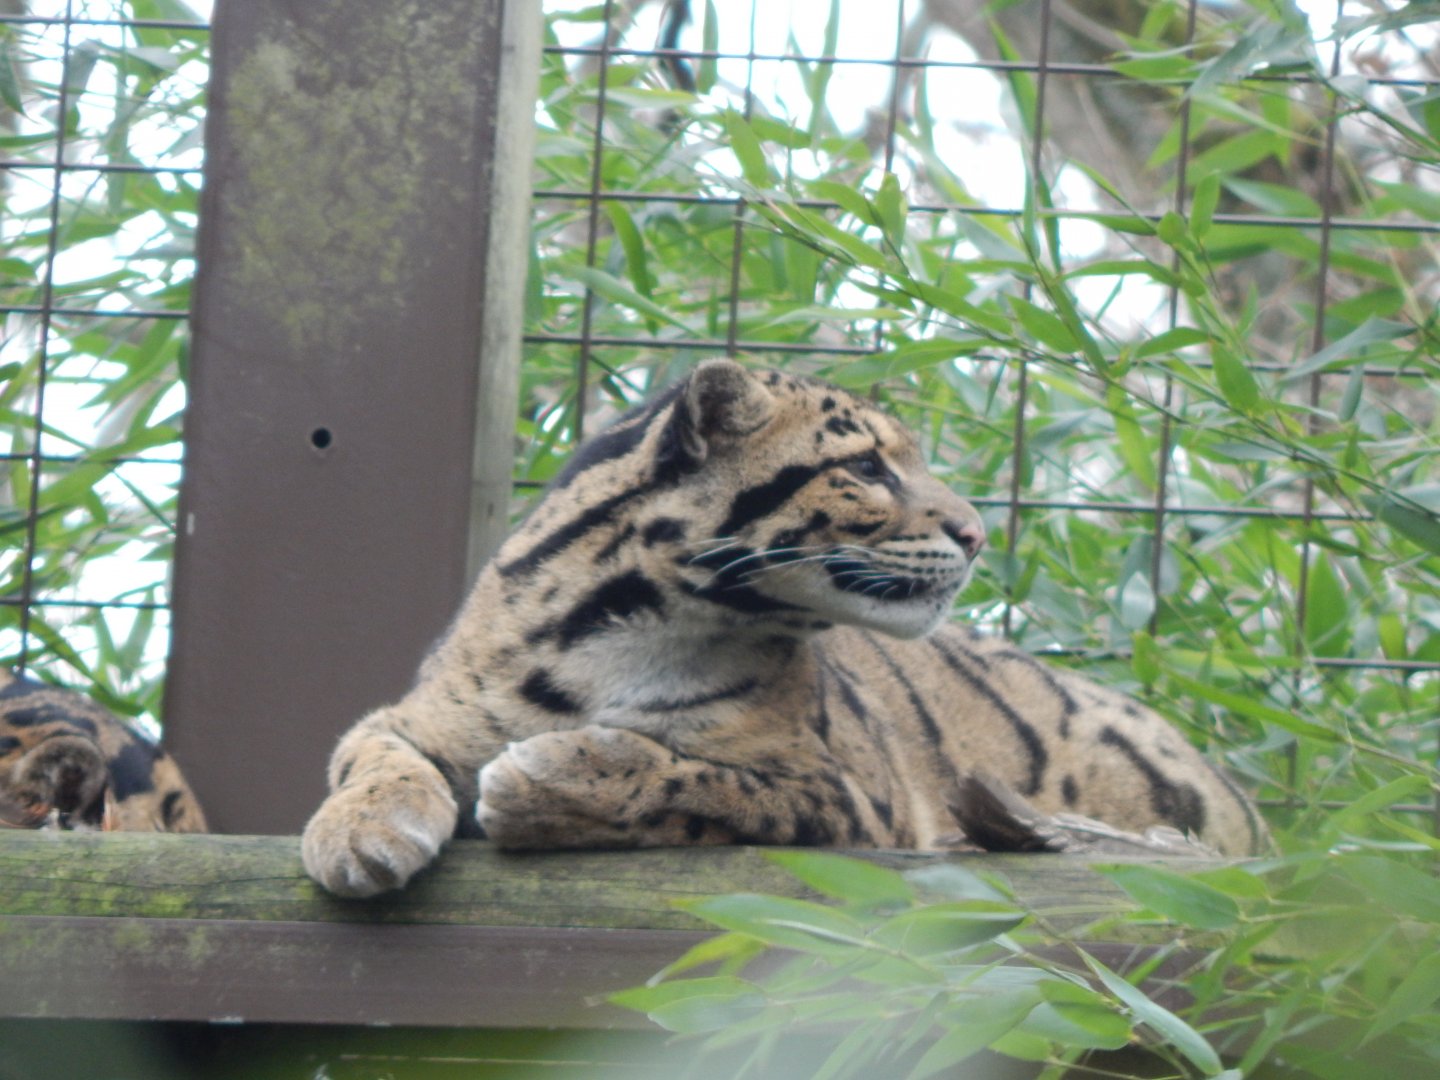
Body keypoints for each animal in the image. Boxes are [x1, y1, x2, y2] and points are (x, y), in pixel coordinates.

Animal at [302, 359, 1266, 897]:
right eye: (868, 467)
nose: (977, 533)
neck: (625, 630)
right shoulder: (417, 713)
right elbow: (370, 756)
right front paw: (357, 833)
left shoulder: (846, 795)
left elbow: (697, 783)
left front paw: (550, 777)